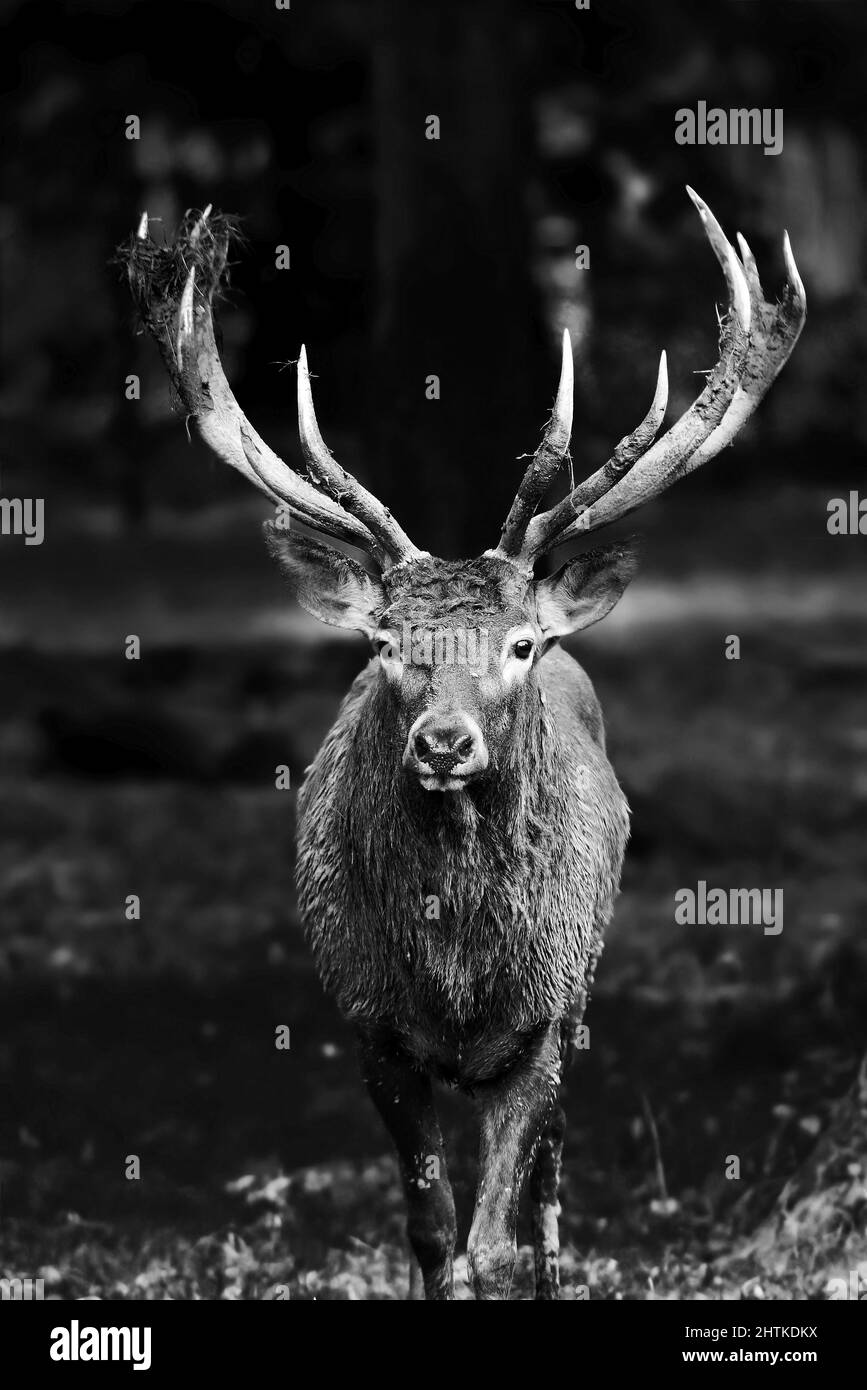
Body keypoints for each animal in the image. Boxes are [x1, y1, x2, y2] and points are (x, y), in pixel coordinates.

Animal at [123, 190, 805, 1295]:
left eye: (518, 643)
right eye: (385, 643)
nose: (443, 743)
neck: (454, 973)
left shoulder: (543, 1018)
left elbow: (495, 1235)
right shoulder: (369, 1023)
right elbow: (432, 1228)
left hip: (584, 982)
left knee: (552, 1184)